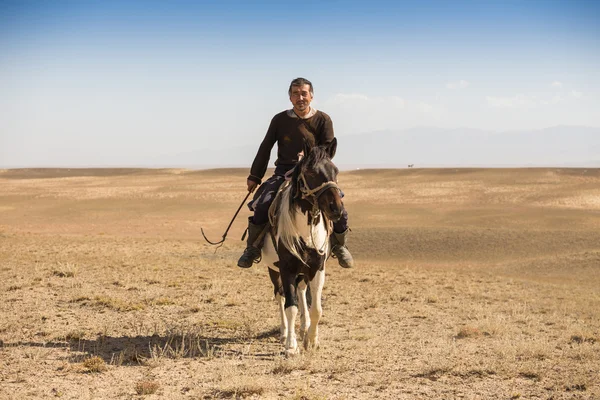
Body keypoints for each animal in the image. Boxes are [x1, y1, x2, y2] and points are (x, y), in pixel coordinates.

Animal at [262, 140, 342, 356]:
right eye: (311, 173)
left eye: (335, 171)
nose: (336, 208)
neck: (305, 230)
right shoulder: (286, 268)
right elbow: (291, 307)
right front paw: (291, 346)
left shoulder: (317, 268)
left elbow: (316, 308)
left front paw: (312, 340)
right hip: (273, 270)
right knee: (280, 296)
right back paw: (284, 333)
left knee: (301, 291)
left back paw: (304, 328)